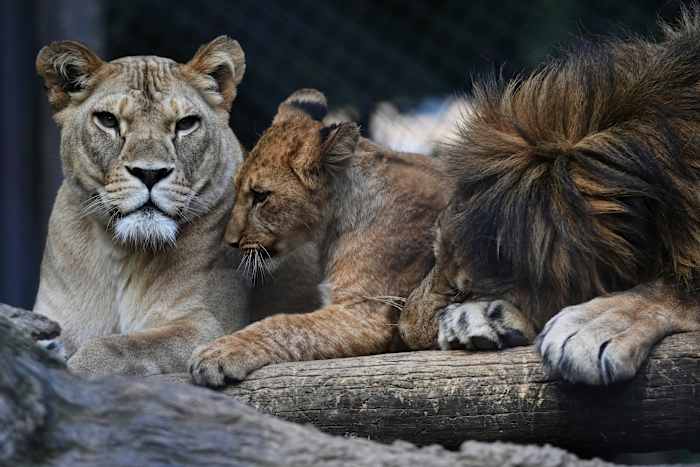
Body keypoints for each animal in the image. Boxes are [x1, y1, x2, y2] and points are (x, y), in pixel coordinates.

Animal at [34, 37, 320, 377]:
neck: (121, 252)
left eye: (185, 124)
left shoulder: (207, 325)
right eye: (107, 120)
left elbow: (120, 346)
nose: (149, 173)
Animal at [188, 89, 449, 387]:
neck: (332, 222)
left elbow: (285, 325)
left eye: (260, 196)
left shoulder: (365, 315)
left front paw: (218, 352)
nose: (230, 241)